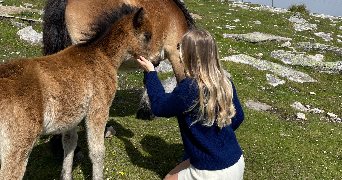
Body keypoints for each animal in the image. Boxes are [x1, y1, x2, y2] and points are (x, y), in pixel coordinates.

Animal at [0, 4, 156, 179]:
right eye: (148, 35)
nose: (156, 61)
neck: (102, 55)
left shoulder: (72, 117)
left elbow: (69, 144)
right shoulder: (98, 110)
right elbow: (97, 152)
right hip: (18, 146)